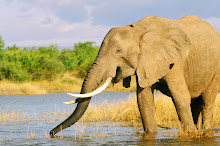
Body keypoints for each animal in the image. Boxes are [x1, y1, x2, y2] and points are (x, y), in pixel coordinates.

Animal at [49, 14, 220, 137]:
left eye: (118, 51)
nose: (51, 133)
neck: (138, 29)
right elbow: (144, 99)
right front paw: (151, 134)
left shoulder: (174, 61)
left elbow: (180, 95)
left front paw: (190, 133)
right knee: (196, 101)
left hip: (216, 68)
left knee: (207, 99)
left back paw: (204, 130)